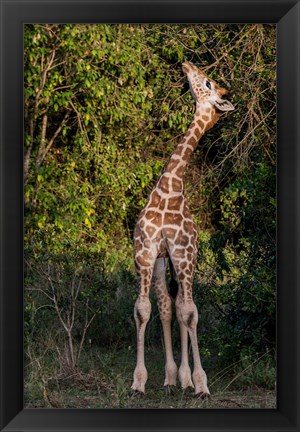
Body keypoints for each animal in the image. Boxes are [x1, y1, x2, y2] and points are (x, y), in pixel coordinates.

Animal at [131, 60, 234, 394]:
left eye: (208, 82)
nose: (188, 65)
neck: (169, 189)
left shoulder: (185, 256)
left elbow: (190, 313)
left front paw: (201, 383)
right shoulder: (146, 252)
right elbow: (144, 309)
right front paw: (138, 382)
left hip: (185, 262)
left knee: (185, 308)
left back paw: (187, 379)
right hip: (164, 263)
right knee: (168, 307)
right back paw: (171, 377)